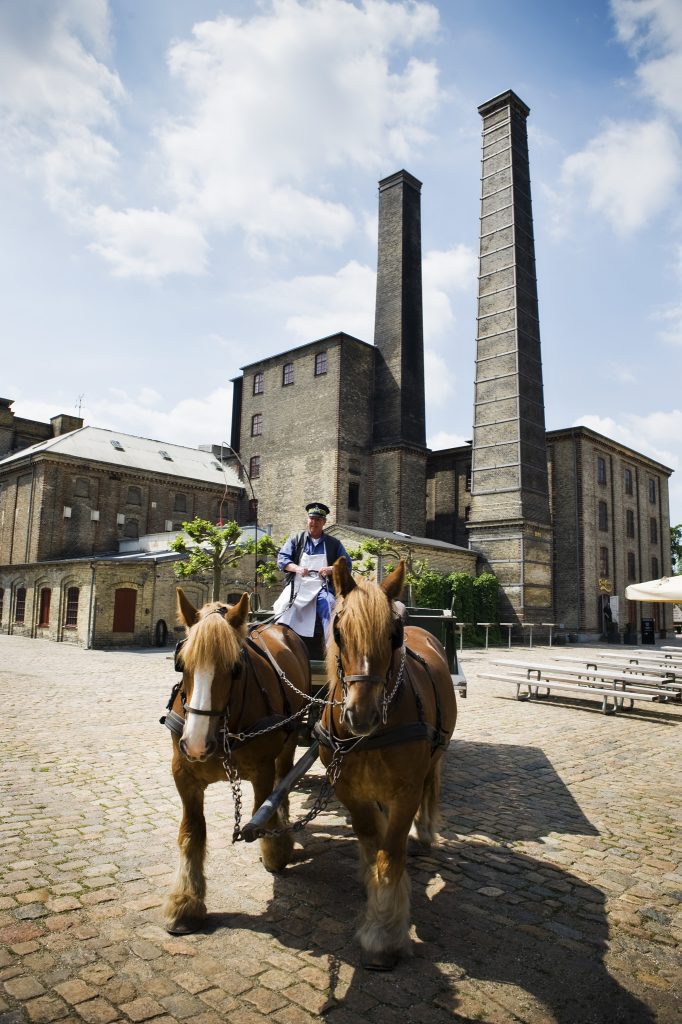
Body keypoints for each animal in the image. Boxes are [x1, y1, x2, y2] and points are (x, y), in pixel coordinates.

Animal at [161, 589, 311, 933]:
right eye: (181, 664)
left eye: (235, 668)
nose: (197, 744)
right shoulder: (183, 774)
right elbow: (192, 832)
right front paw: (185, 901)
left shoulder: (262, 769)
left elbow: (263, 810)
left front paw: (275, 851)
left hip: (291, 735)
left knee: (285, 778)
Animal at [315, 561, 454, 966]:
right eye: (339, 632)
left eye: (393, 636)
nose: (361, 715)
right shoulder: (347, 789)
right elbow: (370, 836)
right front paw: (370, 881)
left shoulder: (406, 791)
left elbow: (390, 853)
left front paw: (384, 933)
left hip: (436, 755)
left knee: (432, 786)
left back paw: (424, 833)